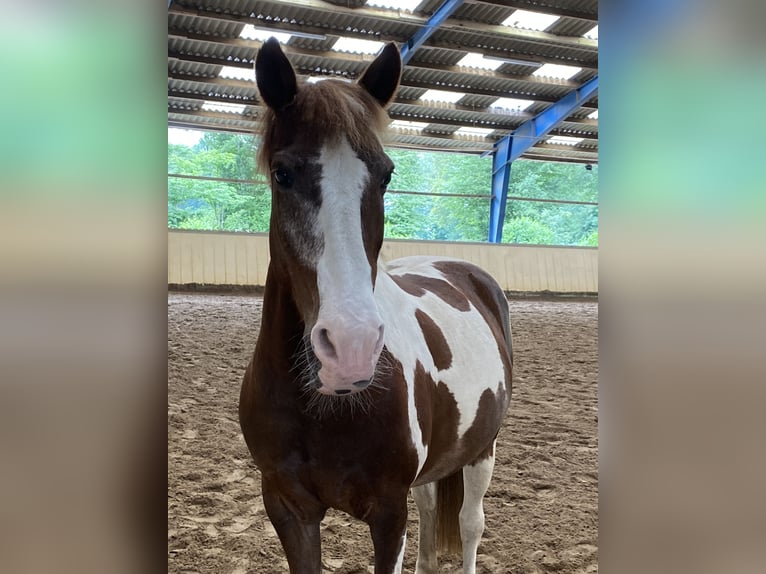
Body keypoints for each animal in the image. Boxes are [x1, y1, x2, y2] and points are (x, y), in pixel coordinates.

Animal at [239, 37, 513, 574]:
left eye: (386, 176)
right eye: (282, 174)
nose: (351, 349)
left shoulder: (388, 512)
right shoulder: (287, 506)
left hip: (482, 450)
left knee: (470, 524)